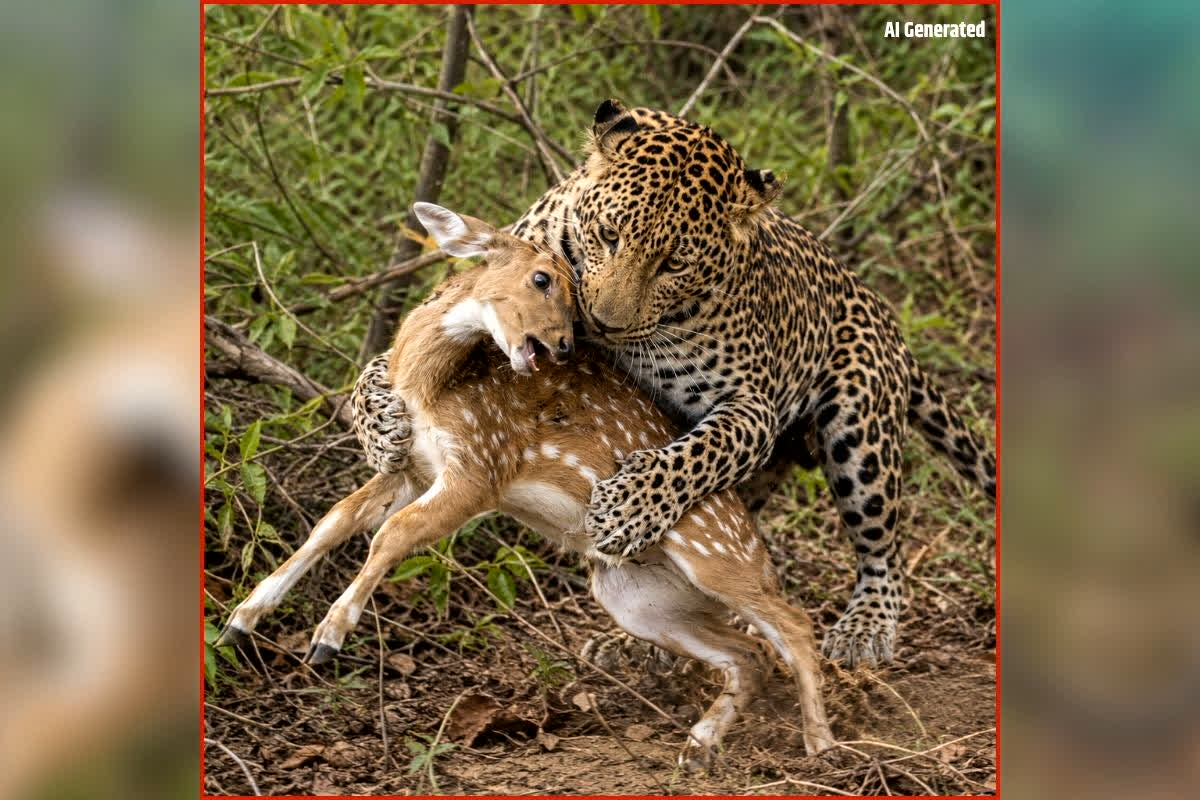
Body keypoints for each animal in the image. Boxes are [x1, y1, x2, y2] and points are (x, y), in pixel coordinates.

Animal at [355, 99, 995, 668]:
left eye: (673, 264)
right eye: (609, 235)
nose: (601, 323)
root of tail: (881, 312)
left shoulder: (751, 407)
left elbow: (692, 456)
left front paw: (626, 508)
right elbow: (377, 369)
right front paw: (381, 426)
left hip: (859, 423)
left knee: (880, 542)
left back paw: (865, 626)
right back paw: (639, 640)